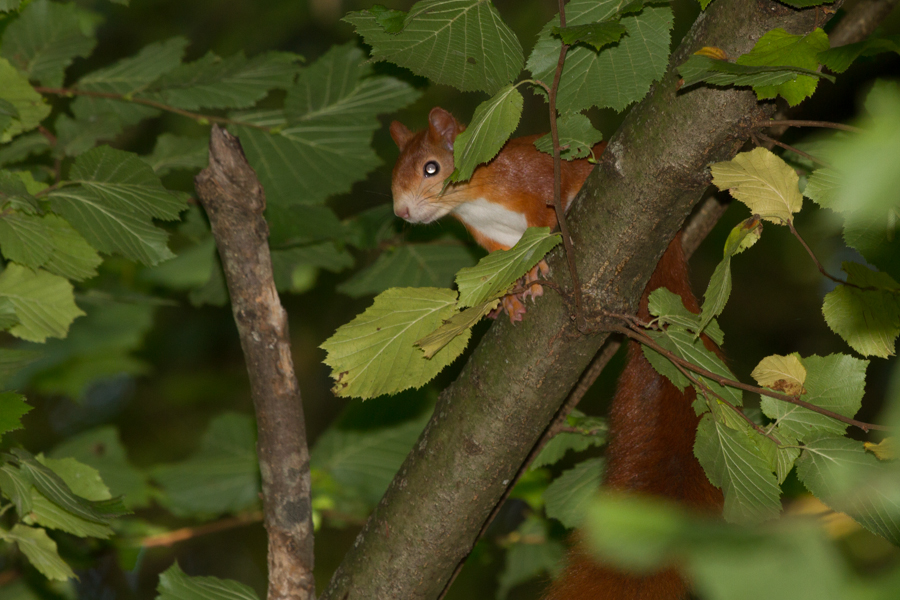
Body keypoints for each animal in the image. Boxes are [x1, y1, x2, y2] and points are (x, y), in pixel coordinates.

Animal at [388, 108, 724, 600]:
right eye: (394, 173)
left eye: (432, 168)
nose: (402, 211)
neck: (475, 199)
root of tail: (670, 255)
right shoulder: (491, 241)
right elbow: (506, 267)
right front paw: (509, 299)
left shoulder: (536, 178)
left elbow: (545, 221)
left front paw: (538, 270)